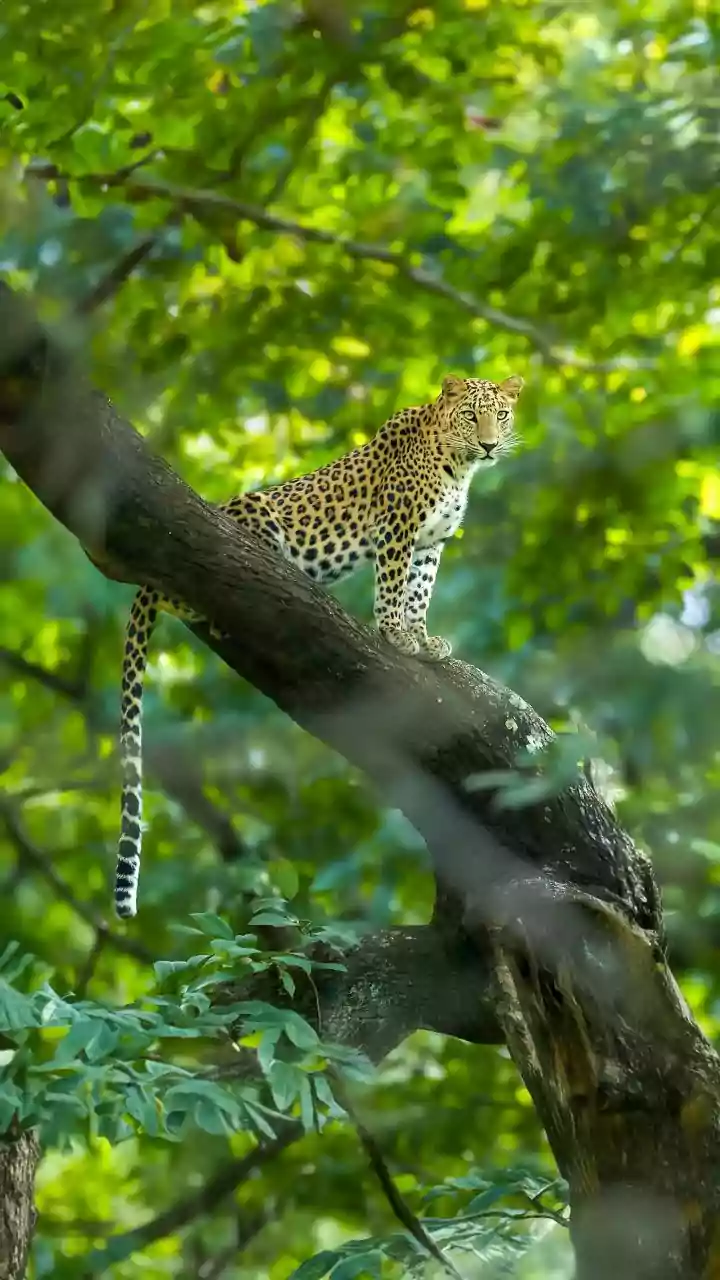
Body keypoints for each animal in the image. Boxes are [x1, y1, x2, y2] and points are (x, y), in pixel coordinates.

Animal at [115, 372, 523, 917]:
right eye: (471, 415)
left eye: (501, 415)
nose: (490, 444)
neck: (458, 466)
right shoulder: (398, 527)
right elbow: (393, 585)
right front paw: (395, 634)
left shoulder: (430, 543)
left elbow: (419, 589)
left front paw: (421, 639)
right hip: (255, 509)